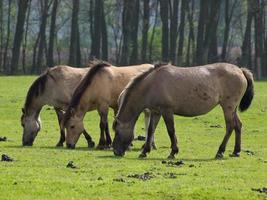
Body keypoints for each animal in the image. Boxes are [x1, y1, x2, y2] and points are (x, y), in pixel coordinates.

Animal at [113, 63, 255, 159]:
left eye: (117, 131)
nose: (116, 151)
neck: (152, 84)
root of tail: (240, 70)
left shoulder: (167, 111)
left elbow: (171, 130)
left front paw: (173, 152)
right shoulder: (156, 112)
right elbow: (150, 130)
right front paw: (145, 151)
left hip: (228, 107)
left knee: (230, 126)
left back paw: (220, 151)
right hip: (233, 109)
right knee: (238, 125)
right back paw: (236, 151)